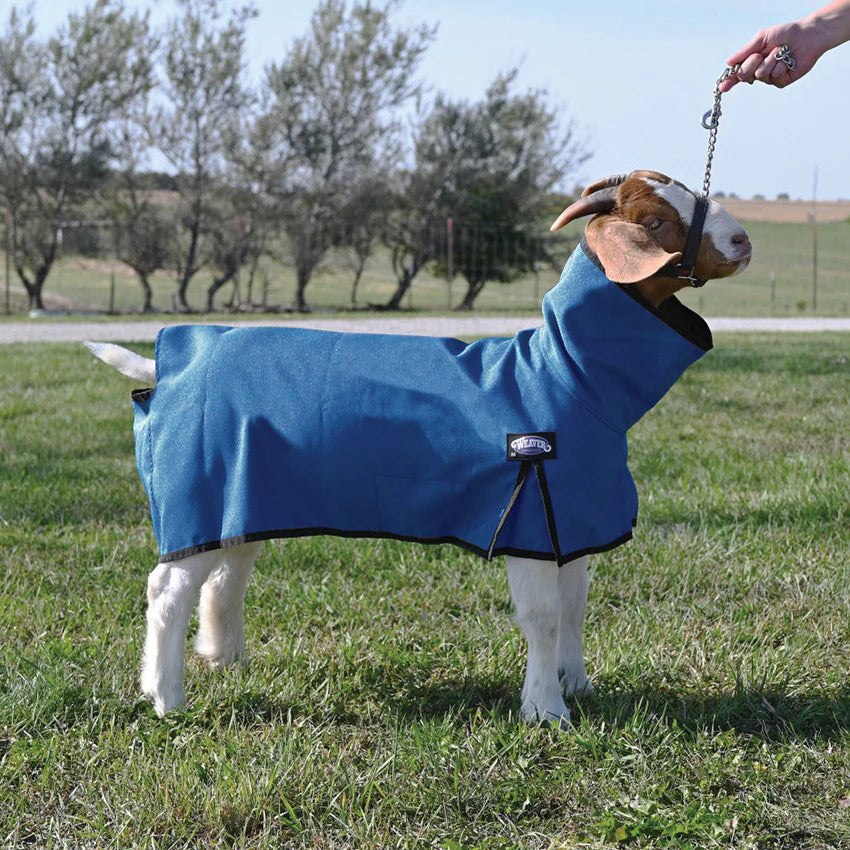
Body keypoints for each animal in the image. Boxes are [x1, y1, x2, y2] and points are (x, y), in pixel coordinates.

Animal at [88, 169, 751, 727]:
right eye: (655, 222)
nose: (742, 240)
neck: (564, 375)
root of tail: (169, 364)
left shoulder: (571, 519)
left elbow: (576, 606)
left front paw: (577, 683)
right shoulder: (530, 516)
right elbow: (542, 618)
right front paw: (545, 710)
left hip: (240, 491)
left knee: (228, 569)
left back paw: (224, 657)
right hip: (194, 487)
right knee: (167, 590)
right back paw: (167, 697)